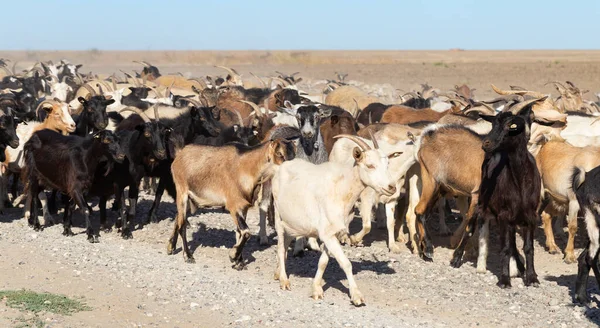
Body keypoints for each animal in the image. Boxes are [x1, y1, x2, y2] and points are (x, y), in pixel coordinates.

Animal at [166, 137, 298, 268]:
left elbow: (239, 232)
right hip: (182, 191)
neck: (245, 169)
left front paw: (239, 261)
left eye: (294, 155)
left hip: (192, 199)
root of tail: (179, 155)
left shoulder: (243, 207)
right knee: (182, 225)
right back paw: (188, 256)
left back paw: (171, 247)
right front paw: (233, 256)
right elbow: (246, 231)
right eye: (279, 153)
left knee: (178, 217)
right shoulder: (233, 205)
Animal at [272, 133, 398, 304]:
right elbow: (346, 263)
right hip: (278, 217)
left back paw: (278, 273)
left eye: (387, 164)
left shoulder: (334, 233)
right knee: (280, 248)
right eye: (370, 165)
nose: (392, 187)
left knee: (285, 245)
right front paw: (356, 296)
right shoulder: (327, 234)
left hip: (292, 223)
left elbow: (323, 262)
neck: (341, 190)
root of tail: (281, 168)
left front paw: (316, 289)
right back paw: (284, 280)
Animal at [450, 101, 544, 288]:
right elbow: (505, 248)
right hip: (481, 202)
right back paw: (456, 258)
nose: (486, 143)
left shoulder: (531, 216)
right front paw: (505, 280)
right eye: (493, 124)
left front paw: (532, 277)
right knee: (471, 227)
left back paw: (520, 267)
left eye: (511, 126)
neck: (520, 182)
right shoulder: (503, 215)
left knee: (513, 243)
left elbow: (528, 248)